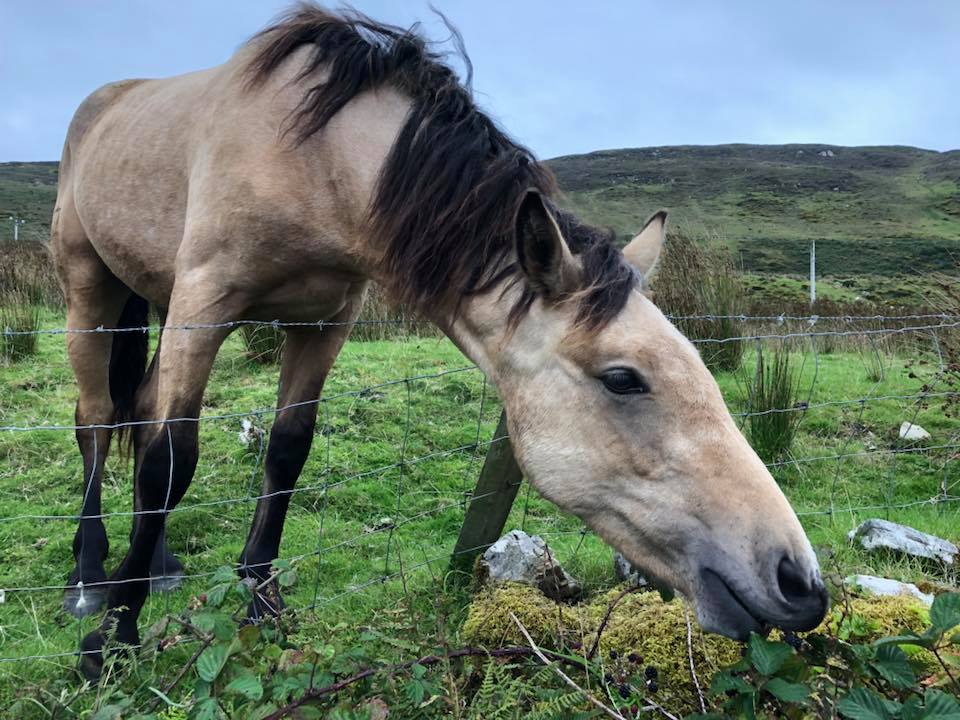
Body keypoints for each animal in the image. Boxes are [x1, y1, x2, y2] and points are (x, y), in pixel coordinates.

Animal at [50, 7, 824, 680]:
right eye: (624, 378)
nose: (799, 582)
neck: (314, 157)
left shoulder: (324, 323)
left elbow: (287, 449)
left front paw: (263, 607)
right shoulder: (204, 304)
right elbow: (169, 465)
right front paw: (110, 643)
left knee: (139, 408)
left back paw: (156, 564)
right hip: (92, 292)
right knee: (98, 420)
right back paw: (90, 578)